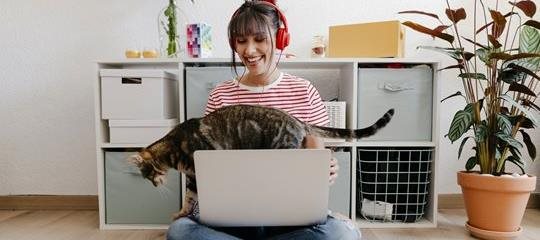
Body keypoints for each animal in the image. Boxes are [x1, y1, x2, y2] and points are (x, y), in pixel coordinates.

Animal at [131, 105, 392, 219]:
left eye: (148, 175)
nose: (153, 184)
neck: (173, 148)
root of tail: (297, 121)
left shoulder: (197, 165)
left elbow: (193, 196)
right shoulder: (194, 177)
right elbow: (189, 198)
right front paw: (183, 213)